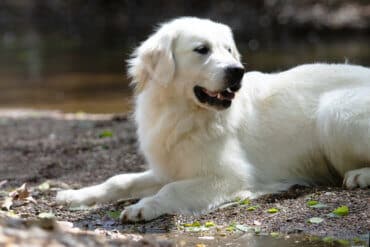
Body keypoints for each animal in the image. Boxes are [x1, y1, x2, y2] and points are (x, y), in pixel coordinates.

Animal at [55, 17, 370, 222]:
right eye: (201, 49)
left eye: (228, 49)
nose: (237, 71)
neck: (182, 114)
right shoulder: (170, 167)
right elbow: (118, 180)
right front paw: (76, 195)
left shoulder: (230, 175)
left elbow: (171, 189)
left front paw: (143, 207)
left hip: (334, 112)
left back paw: (359, 176)